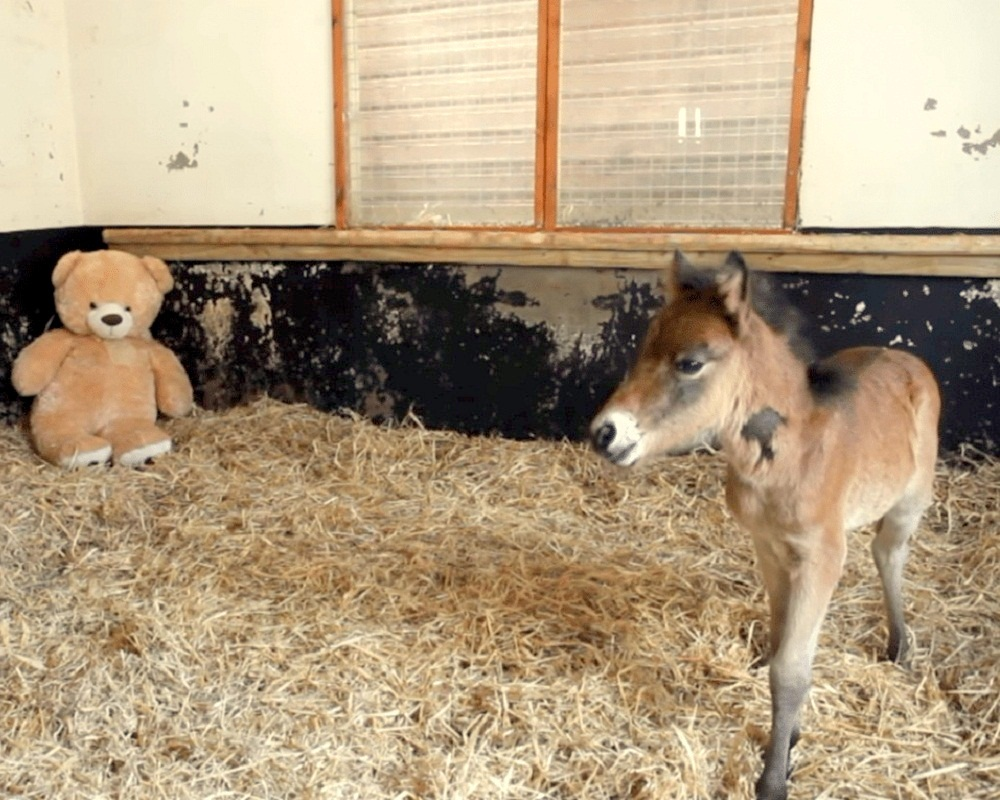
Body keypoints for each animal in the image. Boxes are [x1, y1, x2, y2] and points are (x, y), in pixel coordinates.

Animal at [589, 250, 940, 800]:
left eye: (690, 363)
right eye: (643, 349)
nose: (605, 433)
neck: (789, 454)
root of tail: (906, 358)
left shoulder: (821, 555)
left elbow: (790, 669)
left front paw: (774, 776)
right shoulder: (770, 548)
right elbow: (781, 646)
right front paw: (789, 736)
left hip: (911, 499)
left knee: (889, 554)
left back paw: (900, 646)